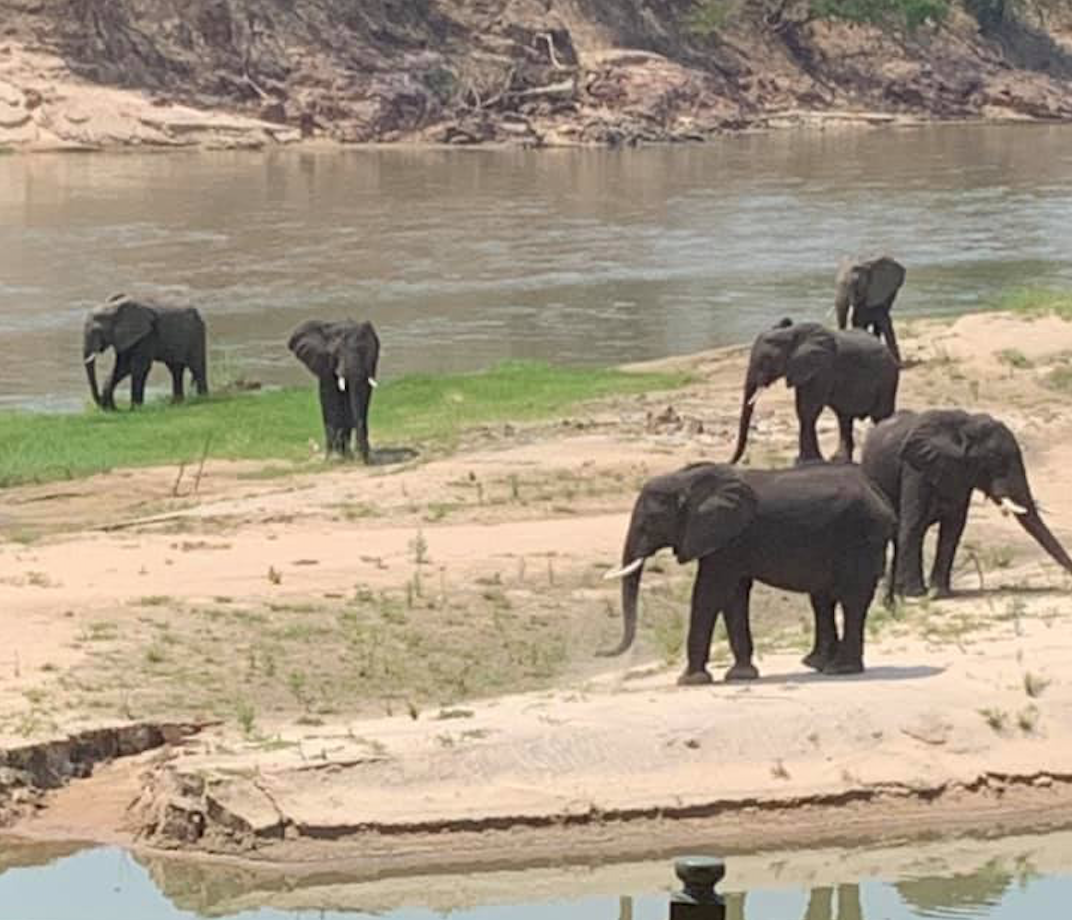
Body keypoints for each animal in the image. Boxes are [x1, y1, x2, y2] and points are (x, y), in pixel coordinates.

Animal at [289, 319, 381, 463]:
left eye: (370, 353)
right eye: (337, 353)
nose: (365, 460)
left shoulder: (371, 367)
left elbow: (363, 397)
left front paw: (356, 456)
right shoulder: (326, 364)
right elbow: (331, 399)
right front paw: (336, 458)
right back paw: (334, 456)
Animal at [604, 458, 896, 681]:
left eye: (650, 522)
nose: (601, 653)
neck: (686, 480)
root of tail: (879, 494)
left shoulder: (725, 538)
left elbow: (709, 593)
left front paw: (690, 681)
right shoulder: (727, 540)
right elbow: (733, 596)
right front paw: (741, 675)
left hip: (861, 539)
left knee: (851, 600)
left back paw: (840, 670)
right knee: (824, 599)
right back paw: (820, 665)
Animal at [733, 321, 900, 465]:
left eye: (766, 360)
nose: (731, 462)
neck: (790, 333)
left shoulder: (822, 369)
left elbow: (808, 410)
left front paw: (807, 461)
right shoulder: (805, 371)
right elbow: (803, 410)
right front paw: (805, 461)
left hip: (887, 380)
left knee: (880, 416)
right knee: (844, 418)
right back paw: (838, 460)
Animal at [861, 407, 1072, 596]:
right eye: (994, 458)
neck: (965, 426)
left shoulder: (961, 475)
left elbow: (953, 528)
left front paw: (940, 593)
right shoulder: (915, 469)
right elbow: (914, 524)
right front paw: (916, 594)